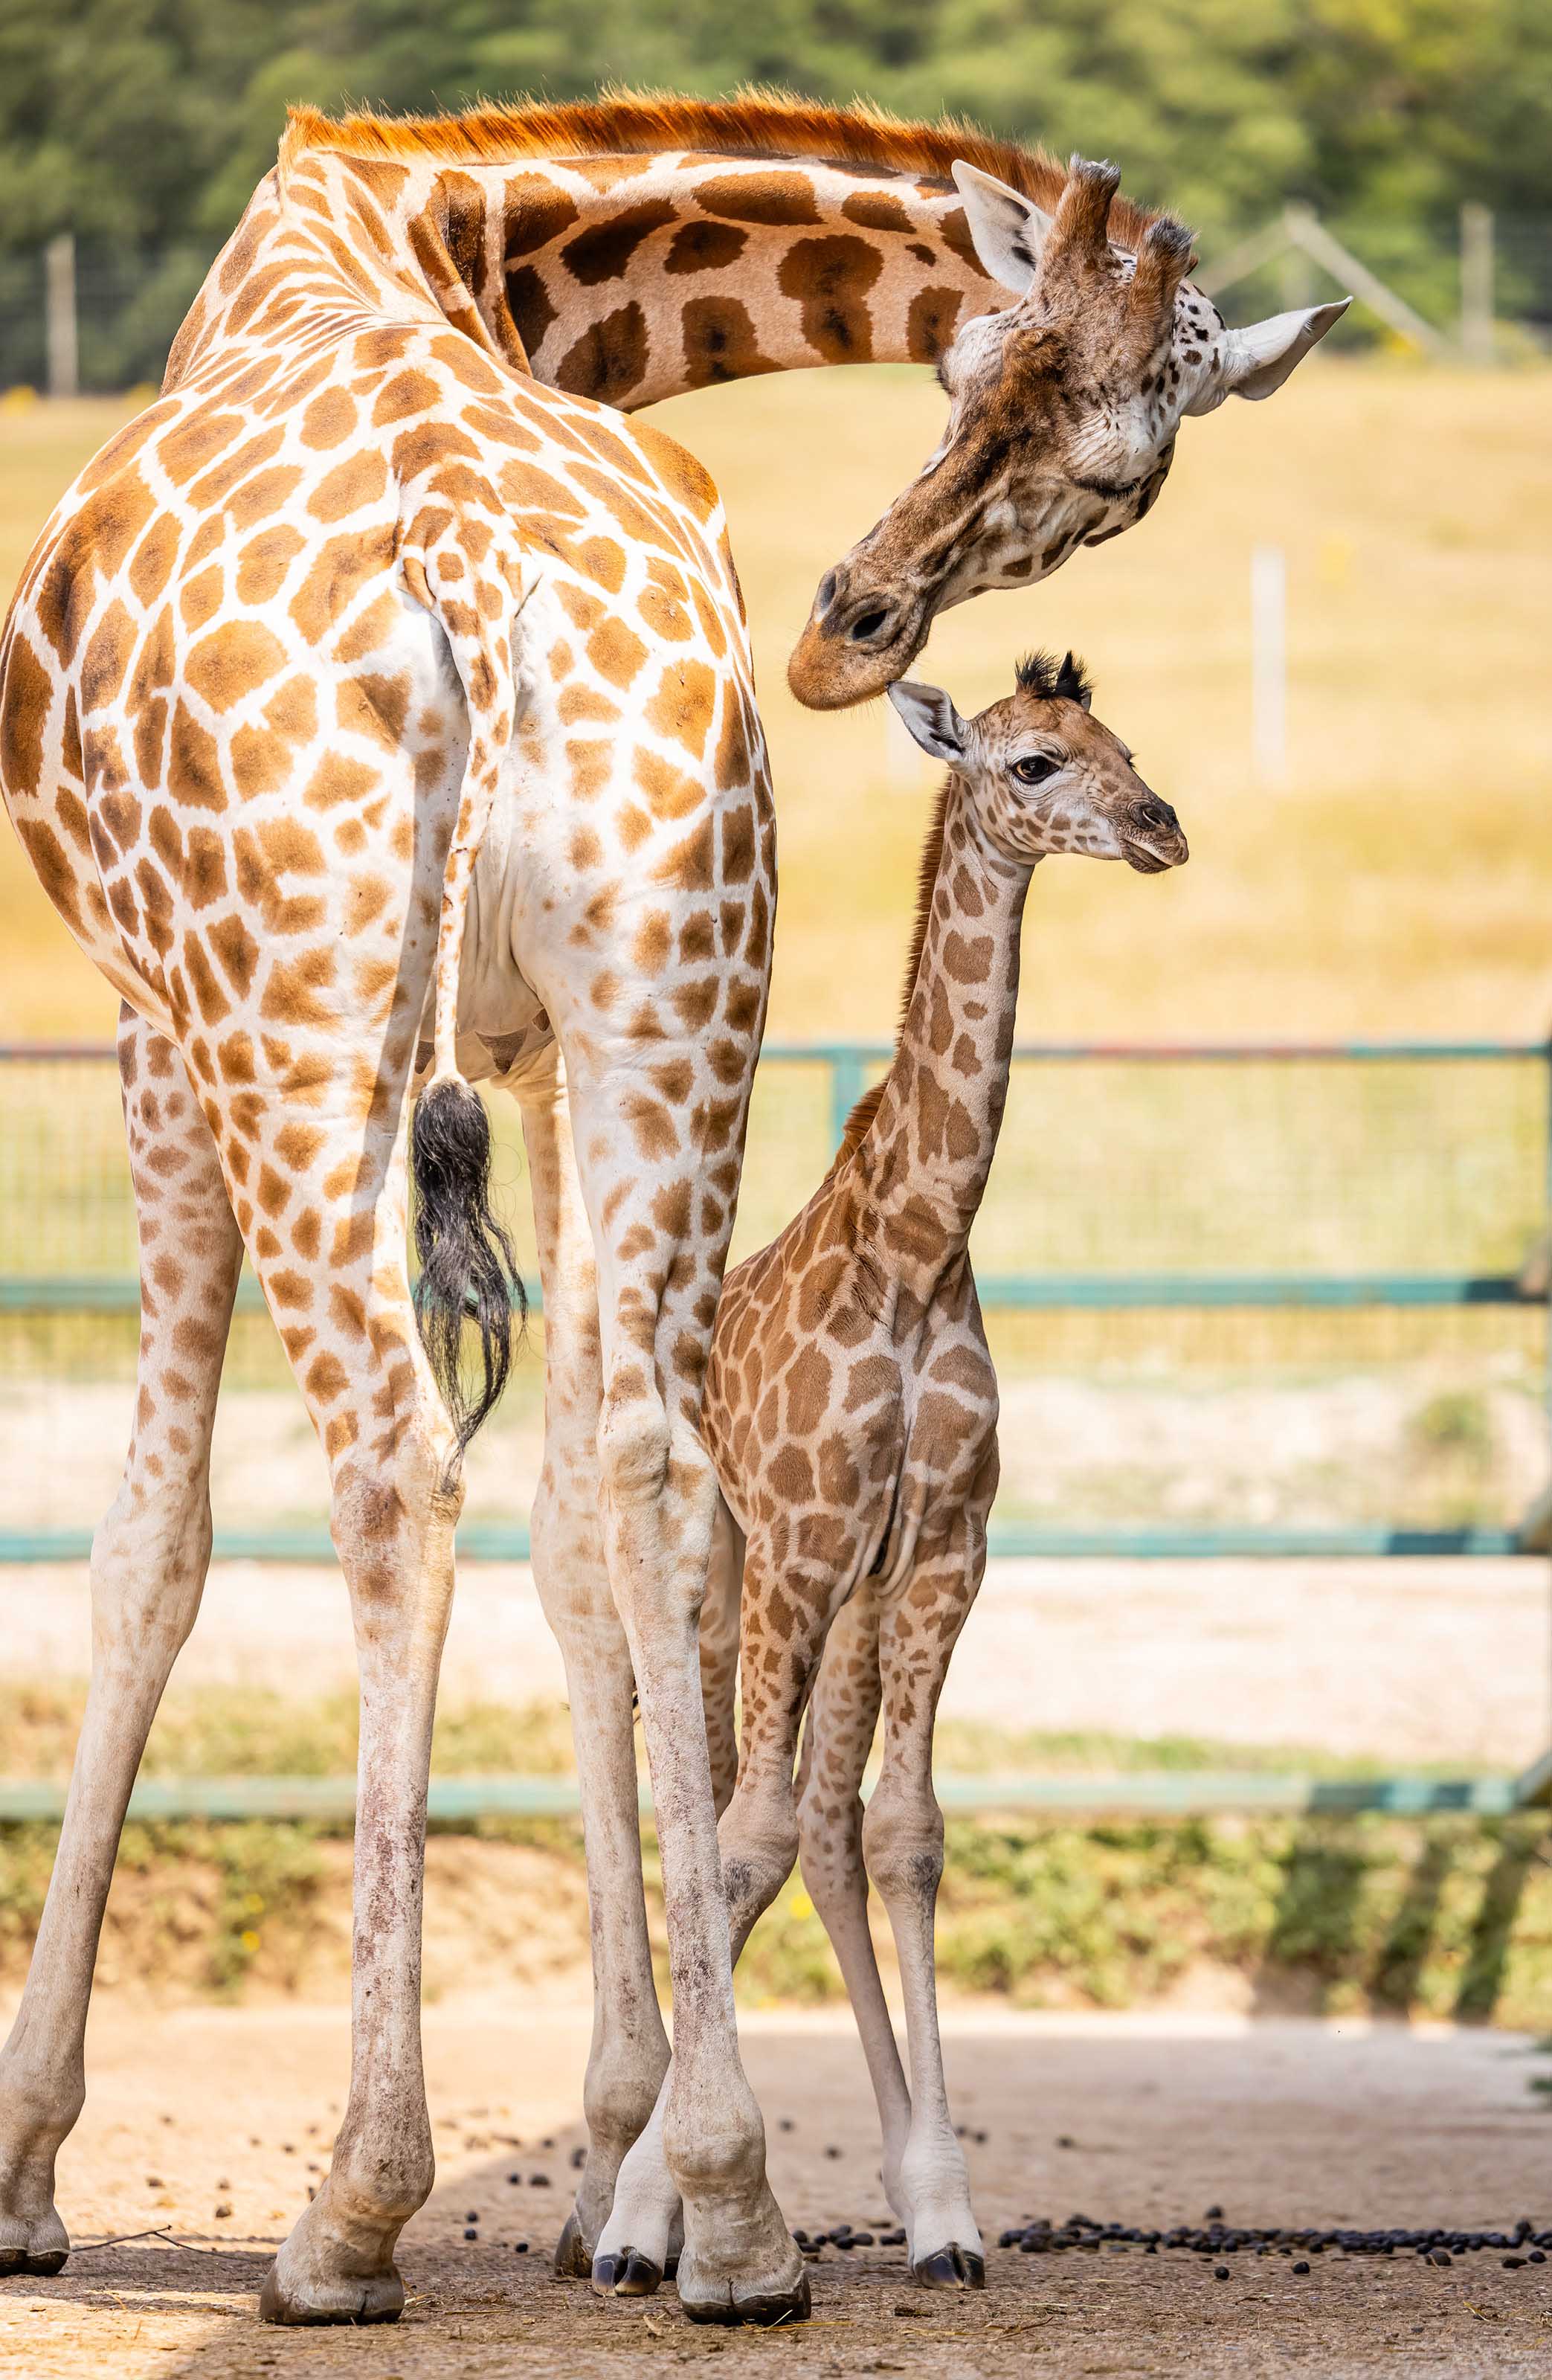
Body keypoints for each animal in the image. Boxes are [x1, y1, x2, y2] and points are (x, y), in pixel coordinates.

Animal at [593, 652, 1188, 2298]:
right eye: (1034, 762)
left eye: (1126, 746)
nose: (1164, 827)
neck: (918, 1247)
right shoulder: (799, 1547)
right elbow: (732, 1848)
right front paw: (656, 2217)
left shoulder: (936, 1553)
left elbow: (904, 1837)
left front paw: (941, 2212)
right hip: (726, 1588)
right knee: (713, 1817)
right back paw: (644, 2207)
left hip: (845, 1609)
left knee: (829, 1828)